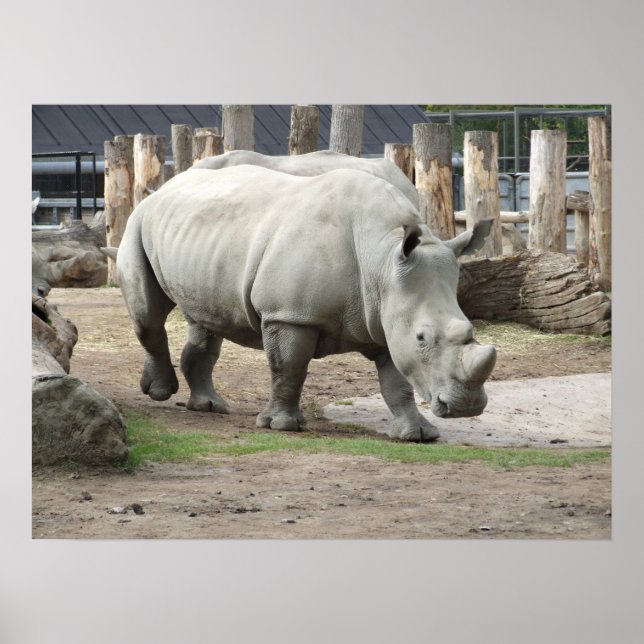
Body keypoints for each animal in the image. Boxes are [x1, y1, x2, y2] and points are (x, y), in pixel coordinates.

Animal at [117, 165, 496, 441]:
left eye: (470, 330)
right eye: (422, 337)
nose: (466, 407)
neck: (382, 260)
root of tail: (162, 188)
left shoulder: (385, 315)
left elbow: (397, 382)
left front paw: (418, 434)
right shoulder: (289, 315)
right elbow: (289, 368)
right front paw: (281, 426)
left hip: (200, 240)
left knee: (206, 321)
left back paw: (209, 406)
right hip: (136, 223)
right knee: (149, 316)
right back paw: (160, 393)